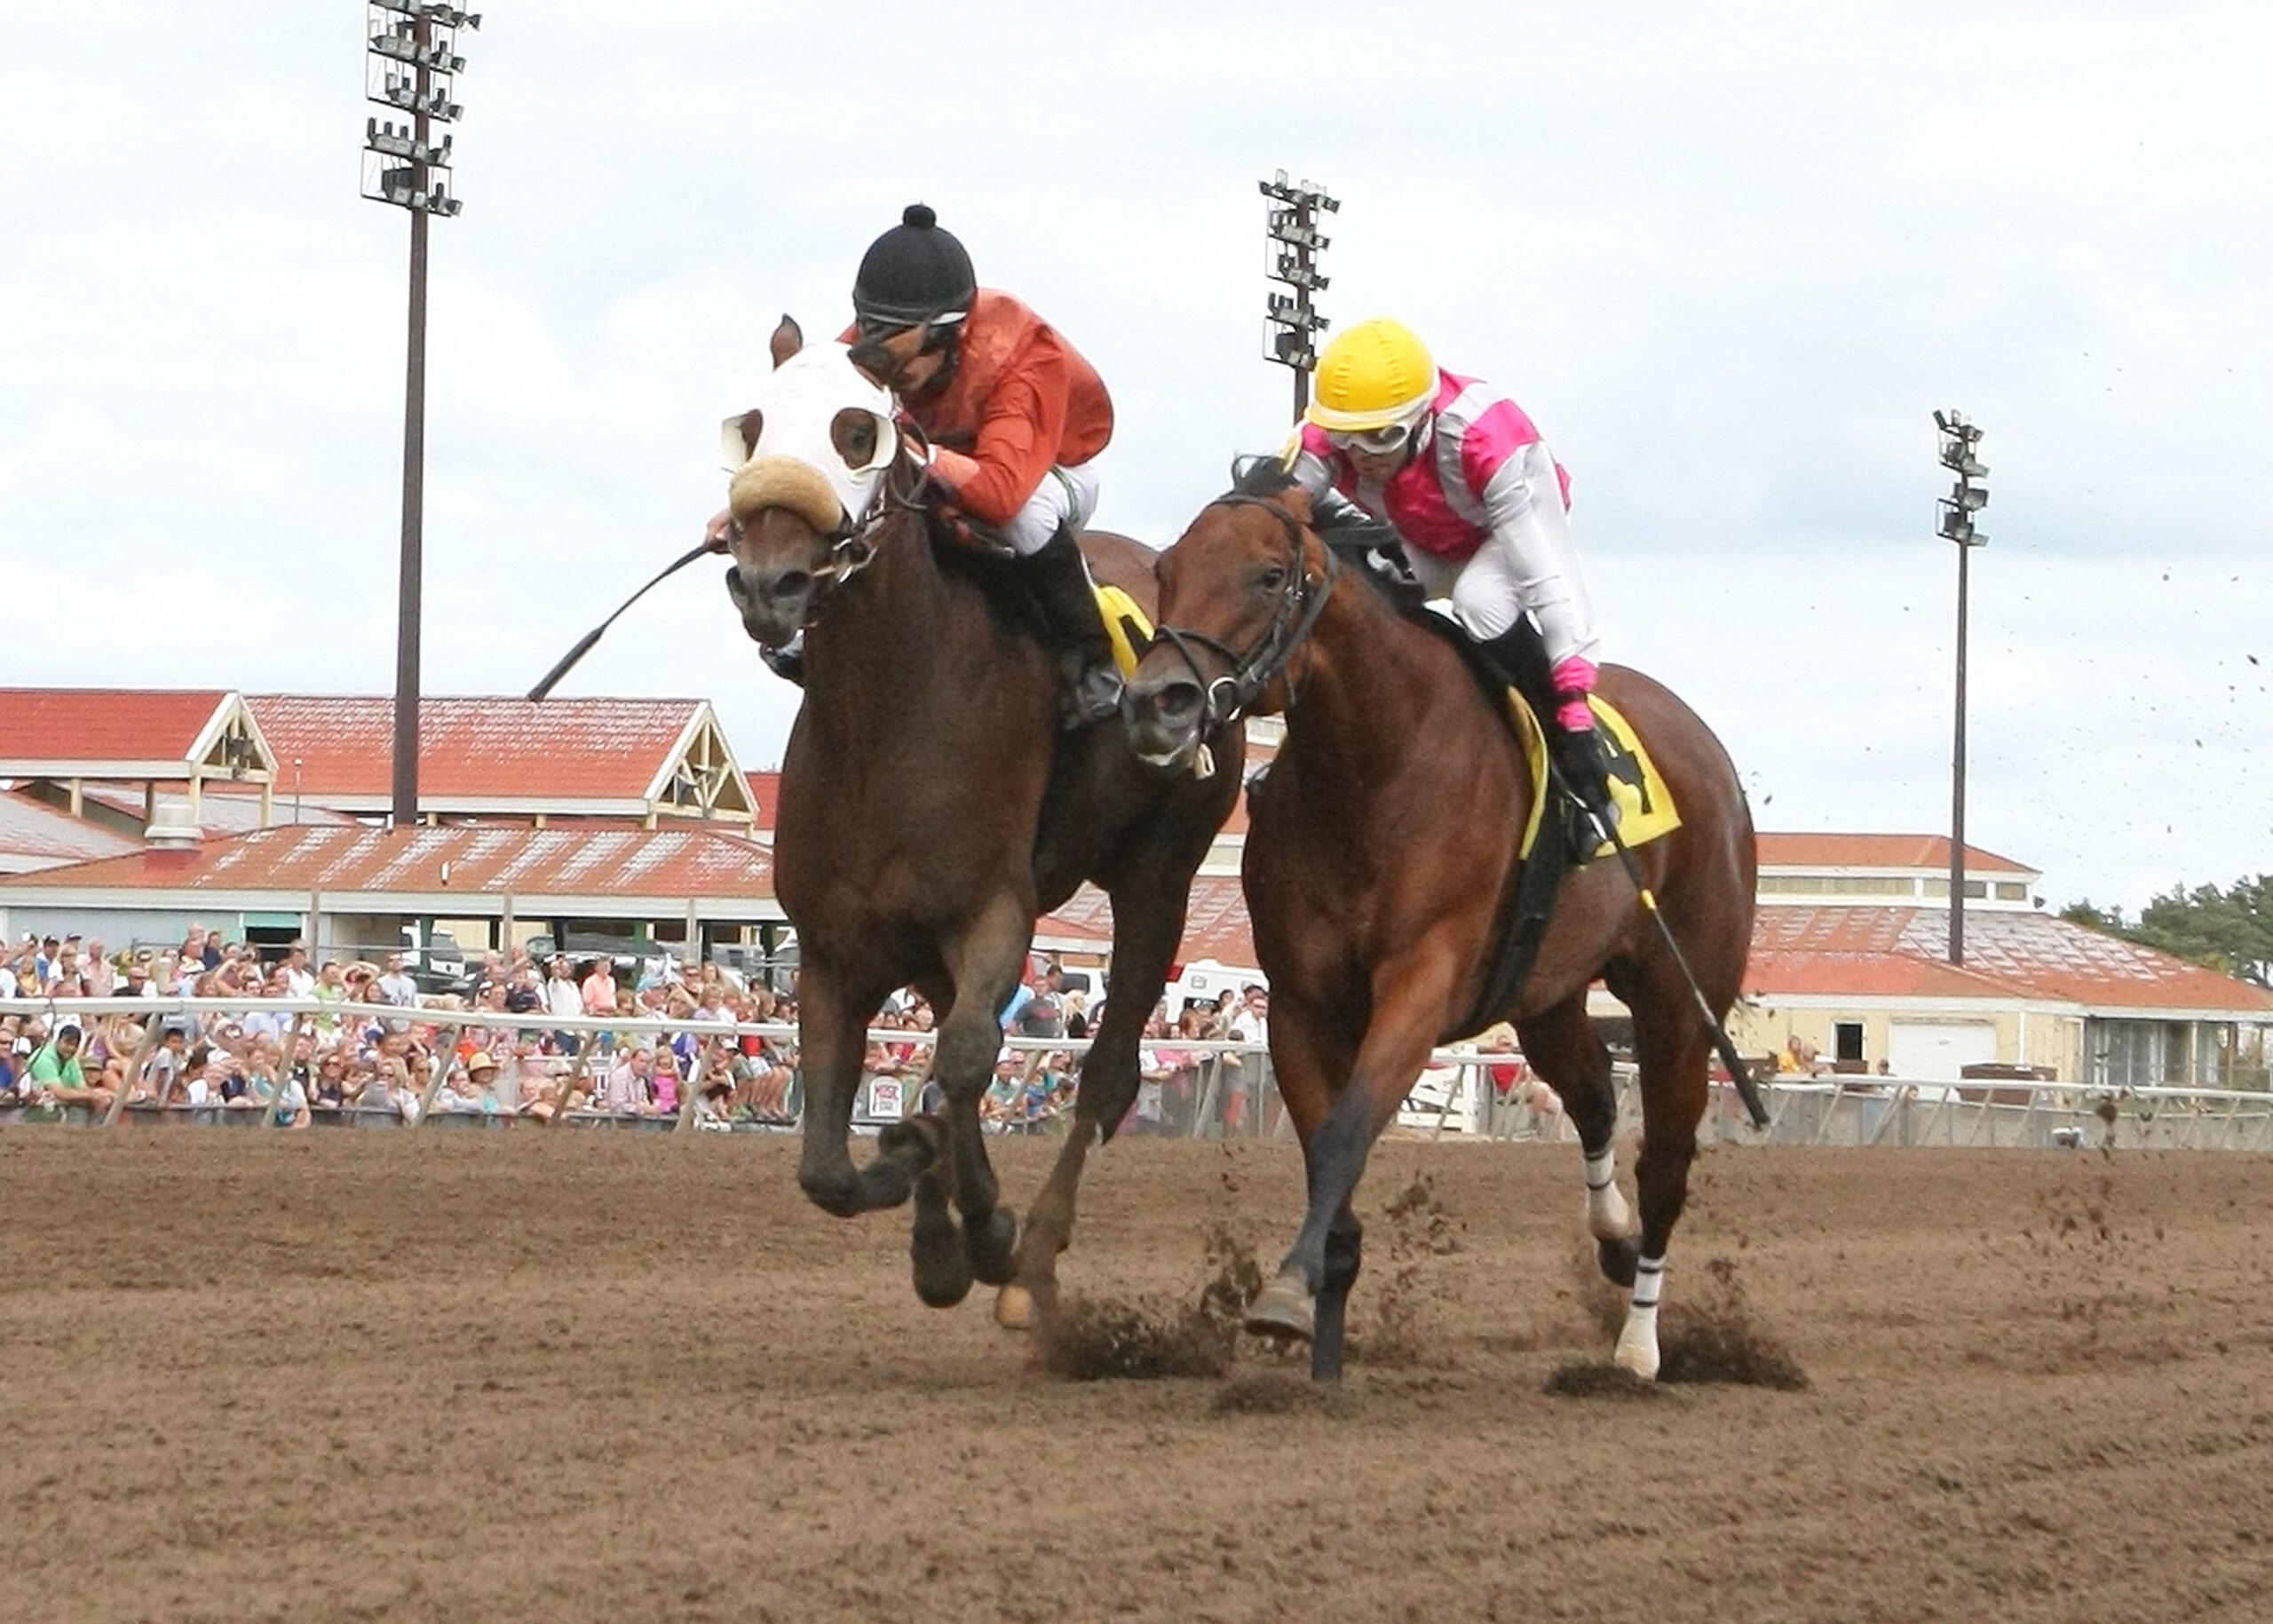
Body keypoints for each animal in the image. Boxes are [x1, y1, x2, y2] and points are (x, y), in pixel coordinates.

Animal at [720, 317, 1243, 1320]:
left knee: (1106, 1073)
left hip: (1159, 876)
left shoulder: (996, 908)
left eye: (857, 432)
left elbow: (964, 1061)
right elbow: (828, 1166)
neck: (885, 715)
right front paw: (931, 1217)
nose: (770, 586)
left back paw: (1028, 1254)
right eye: (750, 428)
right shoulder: (835, 948)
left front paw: (983, 1227)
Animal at [1122, 470, 1756, 1380]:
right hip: (1545, 996)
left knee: (1665, 1161)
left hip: (1679, 1003)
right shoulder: (1301, 1002)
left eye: (1270, 576)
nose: (1154, 705)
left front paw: (1285, 1296)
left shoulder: (1420, 983)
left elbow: (1346, 1133)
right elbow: (1326, 1152)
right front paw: (1322, 1339)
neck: (1377, 767)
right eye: (1166, 570)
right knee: (1595, 1095)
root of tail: (1705, 747)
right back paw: (1611, 1238)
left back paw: (1638, 1345)